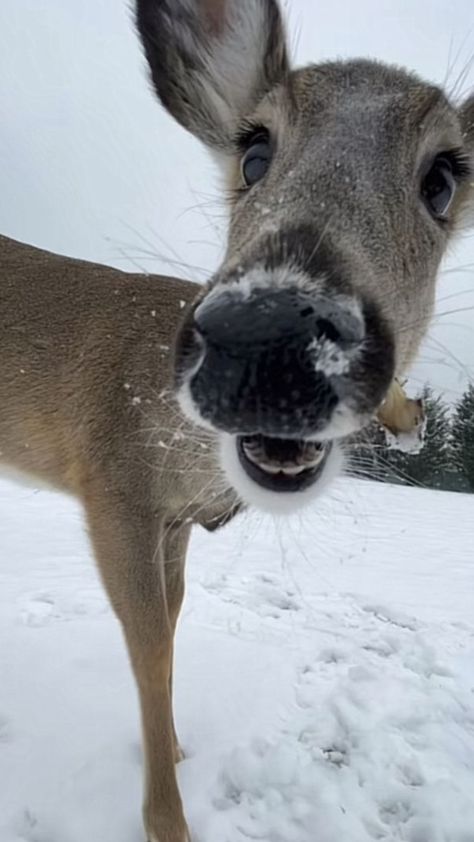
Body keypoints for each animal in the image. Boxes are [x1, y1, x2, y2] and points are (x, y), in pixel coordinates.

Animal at [0, 1, 474, 840]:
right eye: (253, 153)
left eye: (444, 178)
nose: (274, 335)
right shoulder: (112, 484)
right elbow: (148, 643)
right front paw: (167, 819)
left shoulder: (173, 520)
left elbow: (174, 624)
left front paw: (177, 750)